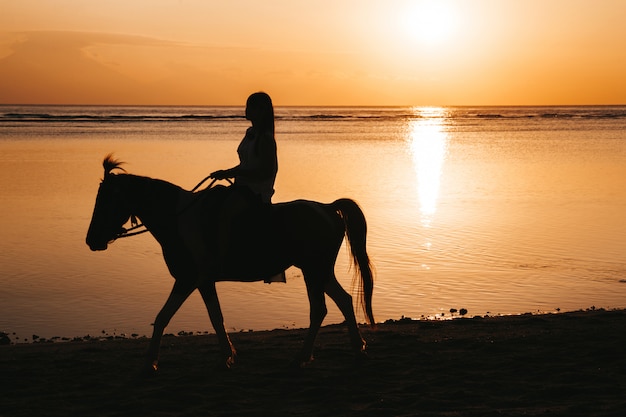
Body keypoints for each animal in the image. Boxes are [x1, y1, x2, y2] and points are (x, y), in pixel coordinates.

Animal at [84, 155, 372, 370]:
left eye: (105, 200)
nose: (91, 240)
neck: (178, 219)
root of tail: (327, 207)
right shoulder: (203, 281)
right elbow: (216, 316)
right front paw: (227, 356)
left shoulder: (188, 279)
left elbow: (164, 316)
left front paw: (150, 362)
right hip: (319, 271)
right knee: (341, 301)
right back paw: (356, 348)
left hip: (314, 270)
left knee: (320, 309)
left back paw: (304, 356)